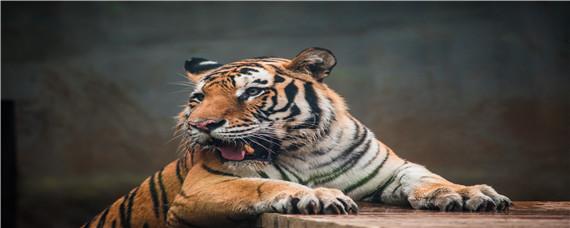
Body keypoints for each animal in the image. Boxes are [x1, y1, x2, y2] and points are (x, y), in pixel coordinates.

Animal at [82, 47, 512, 227]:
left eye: (251, 92)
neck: (306, 151)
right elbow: (259, 186)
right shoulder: (204, 186)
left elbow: (429, 178)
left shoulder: (393, 170)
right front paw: (318, 196)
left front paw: (469, 194)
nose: (201, 125)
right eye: (198, 98)